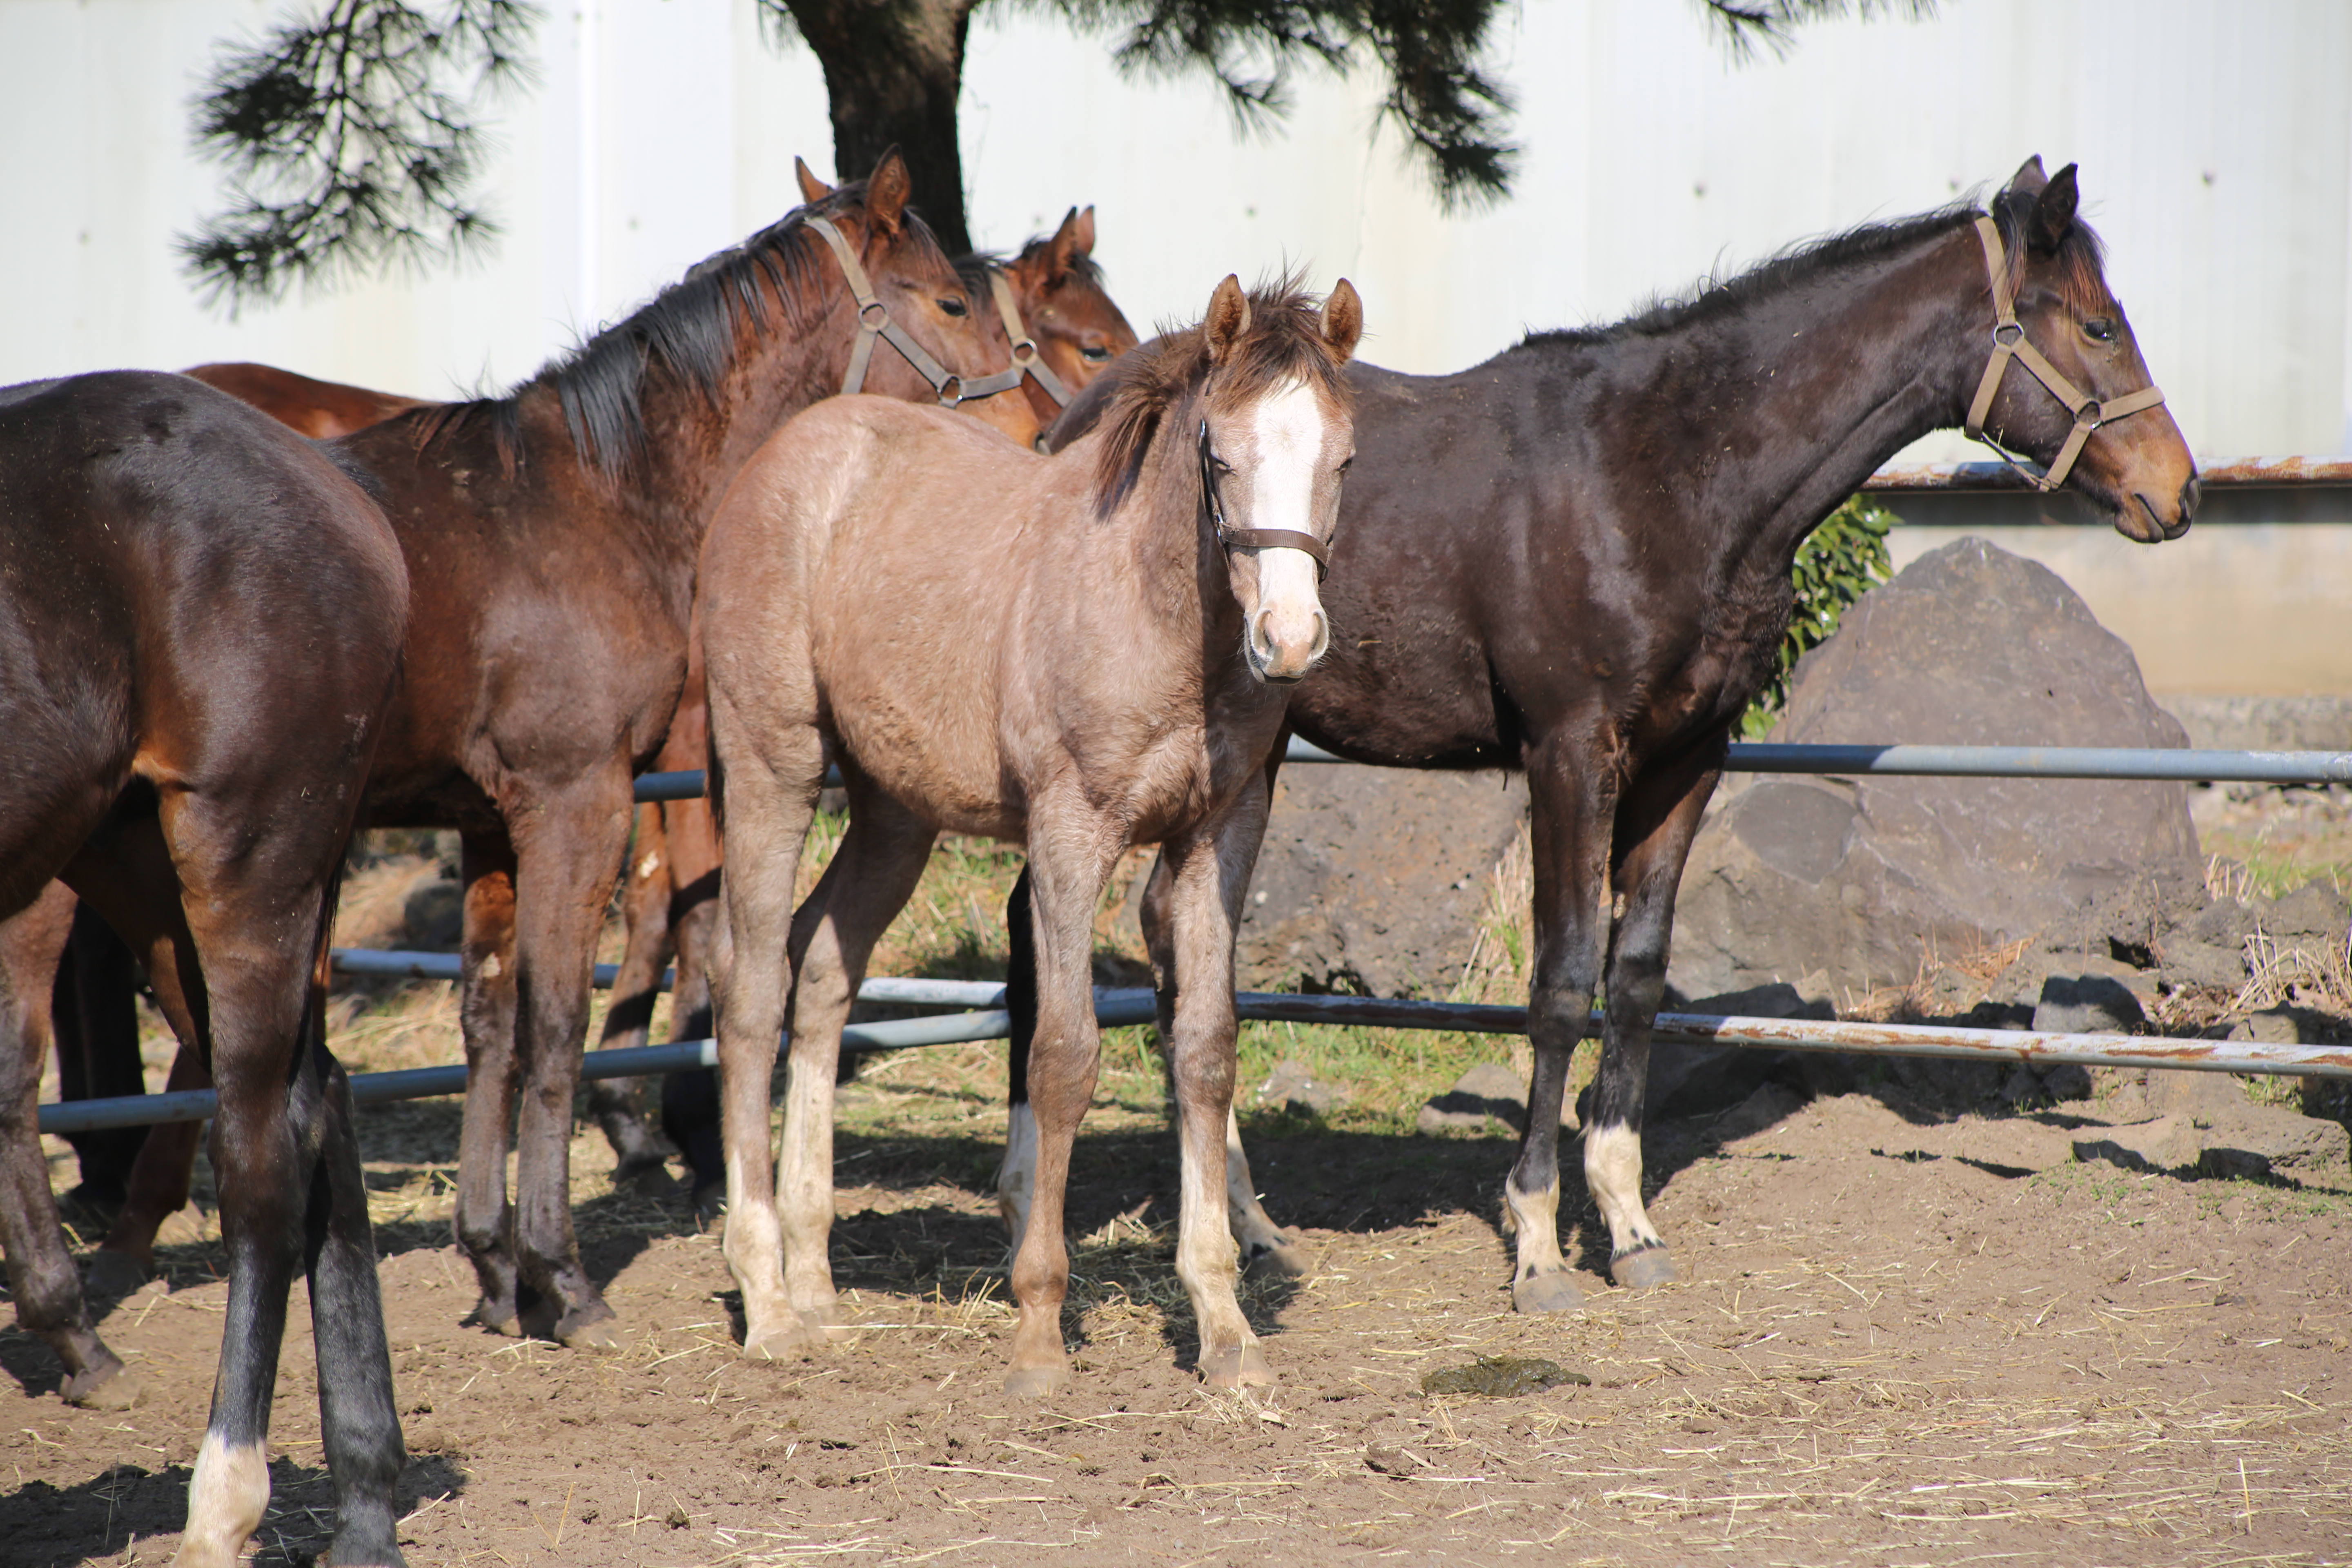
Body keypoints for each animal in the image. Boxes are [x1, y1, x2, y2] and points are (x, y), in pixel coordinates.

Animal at [0, 374, 414, 1561]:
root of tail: (340, 493)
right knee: (320, 1103)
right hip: (143, 873)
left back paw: (226, 1502)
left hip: (251, 862)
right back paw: (364, 1505)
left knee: (263, 1159)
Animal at [696, 272, 1364, 1401]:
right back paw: (768, 1299)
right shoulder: (1069, 833)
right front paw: (1040, 1326)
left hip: (894, 809)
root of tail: (777, 460)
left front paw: (1225, 1326)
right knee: (748, 988)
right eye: (1219, 456)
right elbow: (1061, 1055)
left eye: (1343, 460)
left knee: (822, 965)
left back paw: (816, 1276)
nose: (1287, 639)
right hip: (771, 767)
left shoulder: (1217, 834)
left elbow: (1204, 1052)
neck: (1157, 615)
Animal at [1002, 156, 2192, 1316]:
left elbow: (1637, 975)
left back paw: (1238, 1219)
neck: (1659, 472)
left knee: (1153, 934)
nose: (2175, 490)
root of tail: (1079, 415)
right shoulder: (1570, 752)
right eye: (2097, 327)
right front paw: (1536, 1244)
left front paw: (1626, 1224)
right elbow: (1563, 979)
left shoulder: (1687, 758)